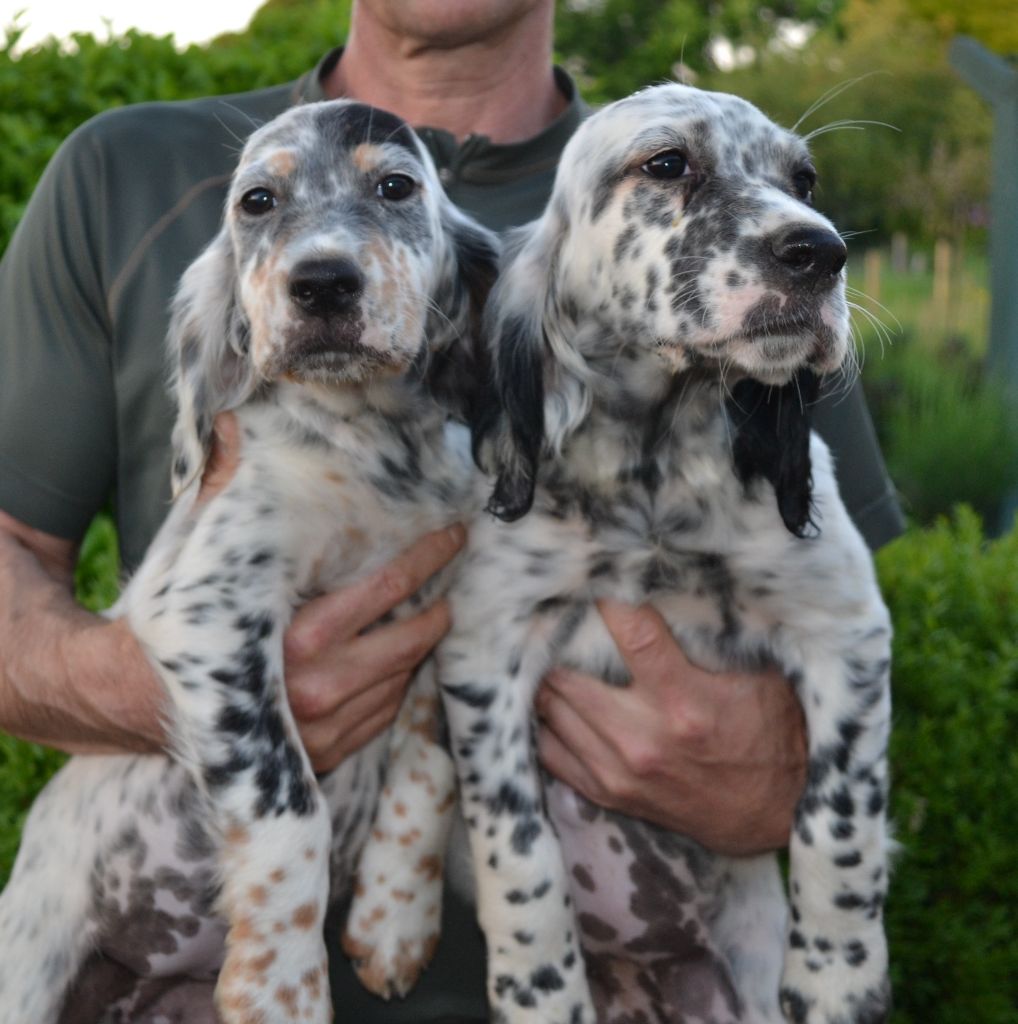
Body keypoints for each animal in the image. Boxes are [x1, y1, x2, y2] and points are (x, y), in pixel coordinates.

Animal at [0, 101, 495, 1024]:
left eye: (396, 186)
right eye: (257, 201)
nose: (324, 283)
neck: (371, 445)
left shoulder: (453, 604)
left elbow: (428, 759)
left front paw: (394, 917)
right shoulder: (214, 613)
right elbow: (289, 807)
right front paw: (282, 987)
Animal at [436, 83, 888, 1024]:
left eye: (805, 179)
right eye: (668, 163)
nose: (821, 254)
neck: (656, 466)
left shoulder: (847, 634)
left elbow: (839, 819)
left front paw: (838, 974)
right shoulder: (484, 655)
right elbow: (520, 851)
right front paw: (539, 987)